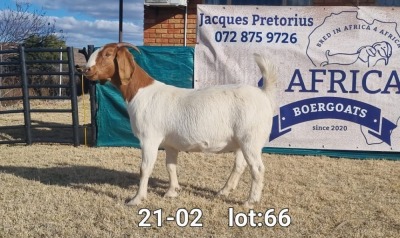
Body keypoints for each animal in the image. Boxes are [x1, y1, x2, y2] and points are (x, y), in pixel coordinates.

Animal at [83, 42, 278, 206]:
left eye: (108, 54)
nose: (85, 70)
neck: (141, 93)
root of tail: (263, 94)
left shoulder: (149, 138)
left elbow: (145, 168)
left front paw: (136, 199)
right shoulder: (170, 143)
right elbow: (170, 166)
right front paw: (172, 191)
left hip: (250, 139)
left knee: (257, 168)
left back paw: (250, 202)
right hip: (241, 141)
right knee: (240, 165)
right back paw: (223, 191)